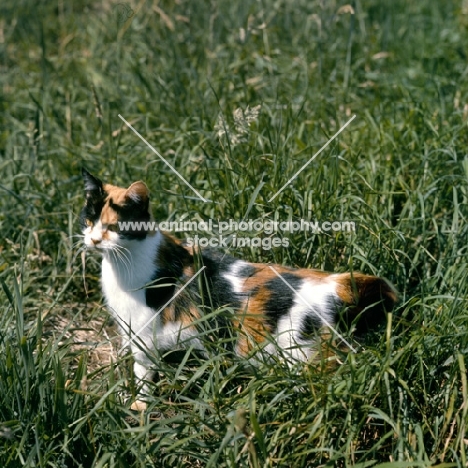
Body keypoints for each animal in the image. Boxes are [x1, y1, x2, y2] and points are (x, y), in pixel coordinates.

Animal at [79, 169, 394, 410]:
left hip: (307, 359)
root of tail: (338, 283)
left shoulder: (143, 339)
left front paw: (138, 406)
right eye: (89, 220)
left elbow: (142, 376)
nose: (93, 240)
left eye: (113, 227)